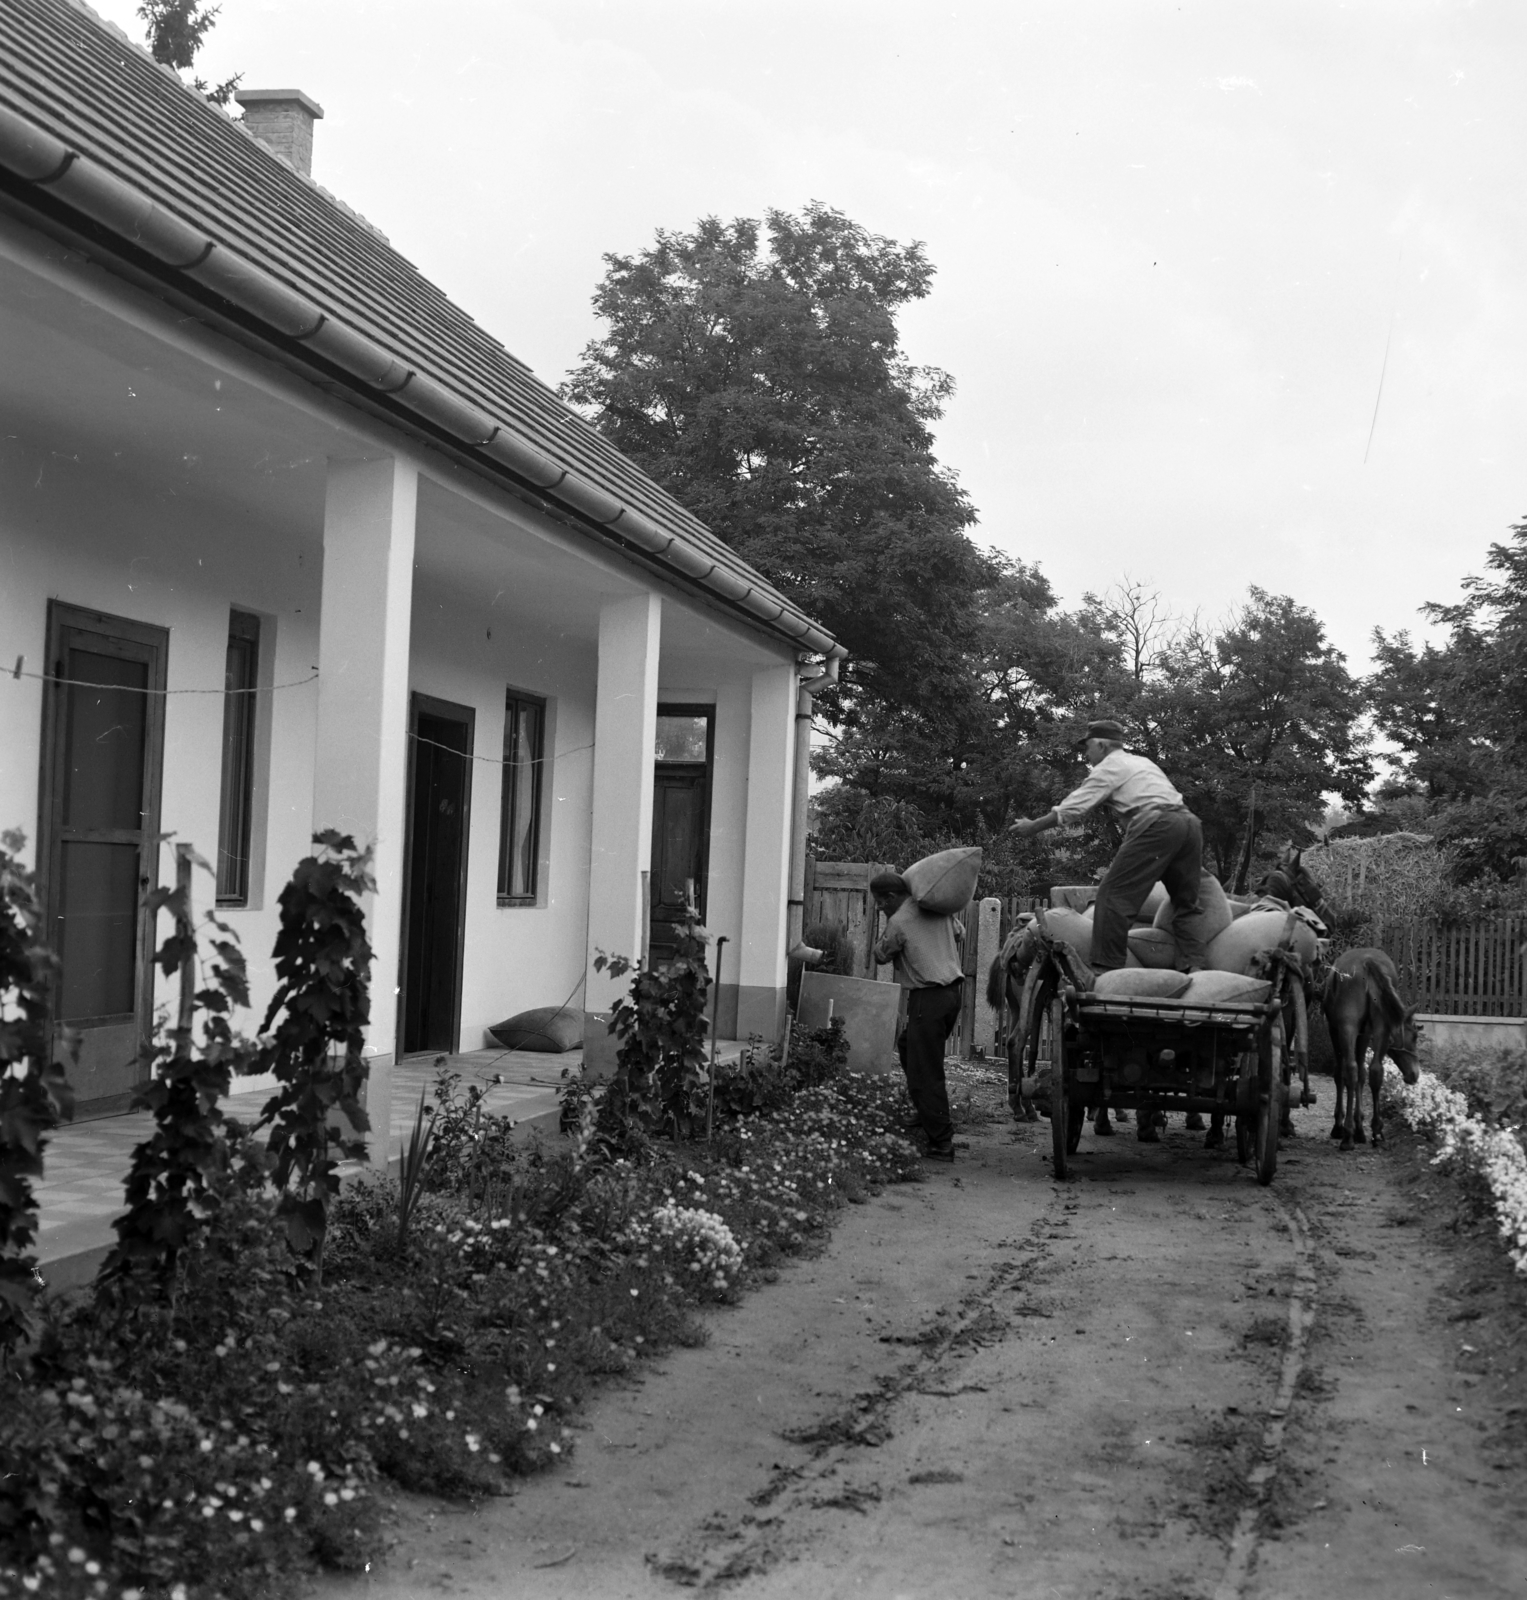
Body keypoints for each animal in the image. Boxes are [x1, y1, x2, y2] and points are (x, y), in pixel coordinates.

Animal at [1312, 940, 1421, 1158]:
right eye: (1415, 1036)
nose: (1415, 1074)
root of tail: (1368, 962)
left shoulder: (1336, 1030)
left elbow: (1341, 1074)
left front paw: (1345, 1126)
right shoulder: (1365, 1032)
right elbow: (1363, 1074)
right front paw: (1360, 1126)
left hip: (1348, 1026)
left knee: (1350, 1071)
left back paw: (1347, 1135)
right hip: (1378, 1028)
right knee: (1375, 1071)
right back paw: (1375, 1131)